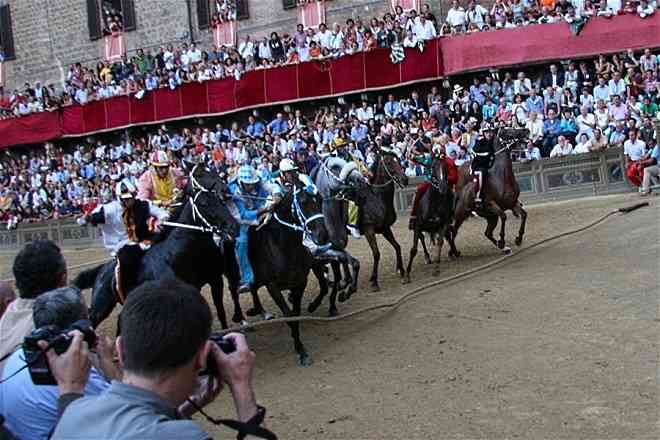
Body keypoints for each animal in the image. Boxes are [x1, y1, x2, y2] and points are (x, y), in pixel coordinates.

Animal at [75, 167, 240, 328]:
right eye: (204, 204)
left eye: (219, 201)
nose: (233, 226)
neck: (177, 255)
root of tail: (101, 270)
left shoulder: (215, 281)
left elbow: (221, 314)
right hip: (100, 307)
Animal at [237, 177, 330, 366]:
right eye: (303, 201)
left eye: (320, 199)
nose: (322, 235)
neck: (283, 247)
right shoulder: (272, 286)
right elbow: (289, 317)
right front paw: (301, 351)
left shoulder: (300, 282)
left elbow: (296, 314)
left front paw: (299, 345)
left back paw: (260, 310)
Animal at [402, 153, 458, 284]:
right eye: (432, 167)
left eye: (445, 167)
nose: (442, 187)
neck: (434, 203)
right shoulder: (418, 225)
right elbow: (414, 249)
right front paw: (407, 274)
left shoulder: (443, 224)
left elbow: (440, 242)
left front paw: (436, 268)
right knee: (422, 238)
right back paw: (428, 257)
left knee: (446, 237)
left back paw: (453, 252)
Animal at [454, 125, 532, 253]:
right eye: (507, 131)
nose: (526, 130)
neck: (502, 177)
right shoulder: (491, 204)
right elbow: (504, 216)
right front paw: (502, 239)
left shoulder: (512, 203)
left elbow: (524, 215)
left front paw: (518, 239)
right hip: (461, 214)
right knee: (452, 230)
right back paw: (453, 252)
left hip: (491, 217)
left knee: (487, 233)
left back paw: (503, 248)